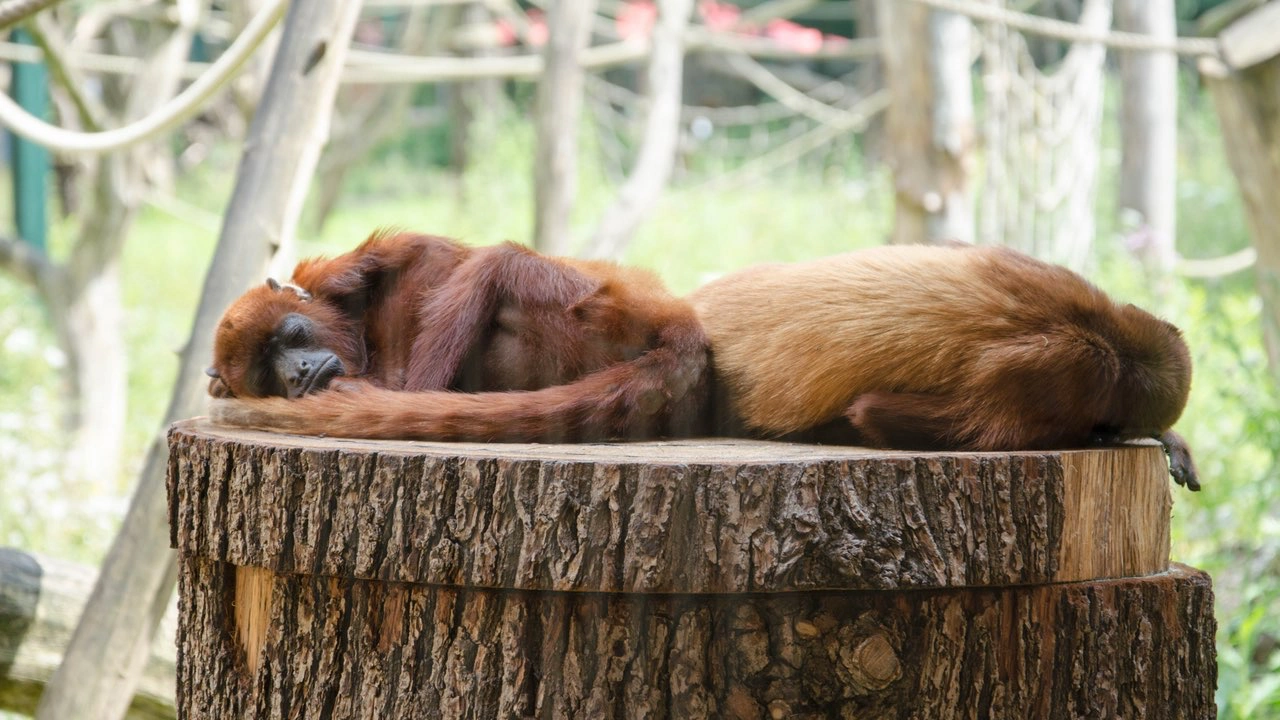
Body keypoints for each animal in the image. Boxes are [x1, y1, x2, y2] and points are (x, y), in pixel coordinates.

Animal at [208, 239, 1197, 489]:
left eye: (289, 340)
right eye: (271, 365)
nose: (299, 375)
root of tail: (678, 333)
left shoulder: (346, 266)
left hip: (592, 305)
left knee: (498, 260)